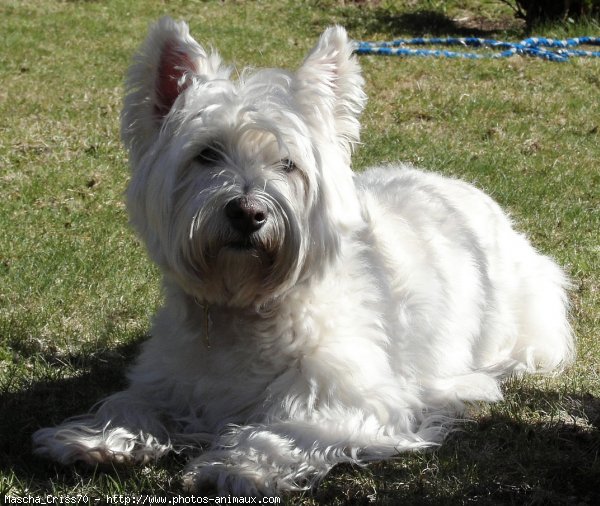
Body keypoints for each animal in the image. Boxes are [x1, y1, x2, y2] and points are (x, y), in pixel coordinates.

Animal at [34, 18, 576, 494]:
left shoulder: (357, 396)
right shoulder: (167, 377)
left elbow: (291, 429)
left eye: (288, 163)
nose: (248, 213)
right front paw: (93, 439)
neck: (245, 308)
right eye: (206, 154)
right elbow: (131, 403)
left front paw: (237, 465)